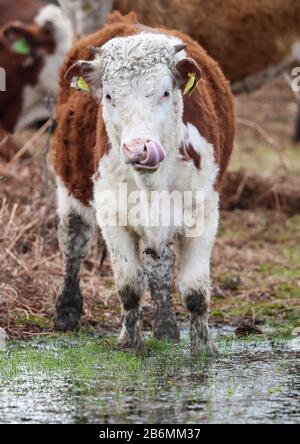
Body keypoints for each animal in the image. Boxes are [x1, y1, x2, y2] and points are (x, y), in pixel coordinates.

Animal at [52, 12, 234, 356]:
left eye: (165, 92)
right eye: (109, 95)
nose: (139, 148)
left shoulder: (204, 214)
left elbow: (194, 291)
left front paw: (203, 348)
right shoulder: (111, 215)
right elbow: (129, 286)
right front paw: (130, 341)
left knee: (158, 262)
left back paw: (166, 328)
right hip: (69, 188)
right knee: (74, 240)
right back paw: (66, 312)